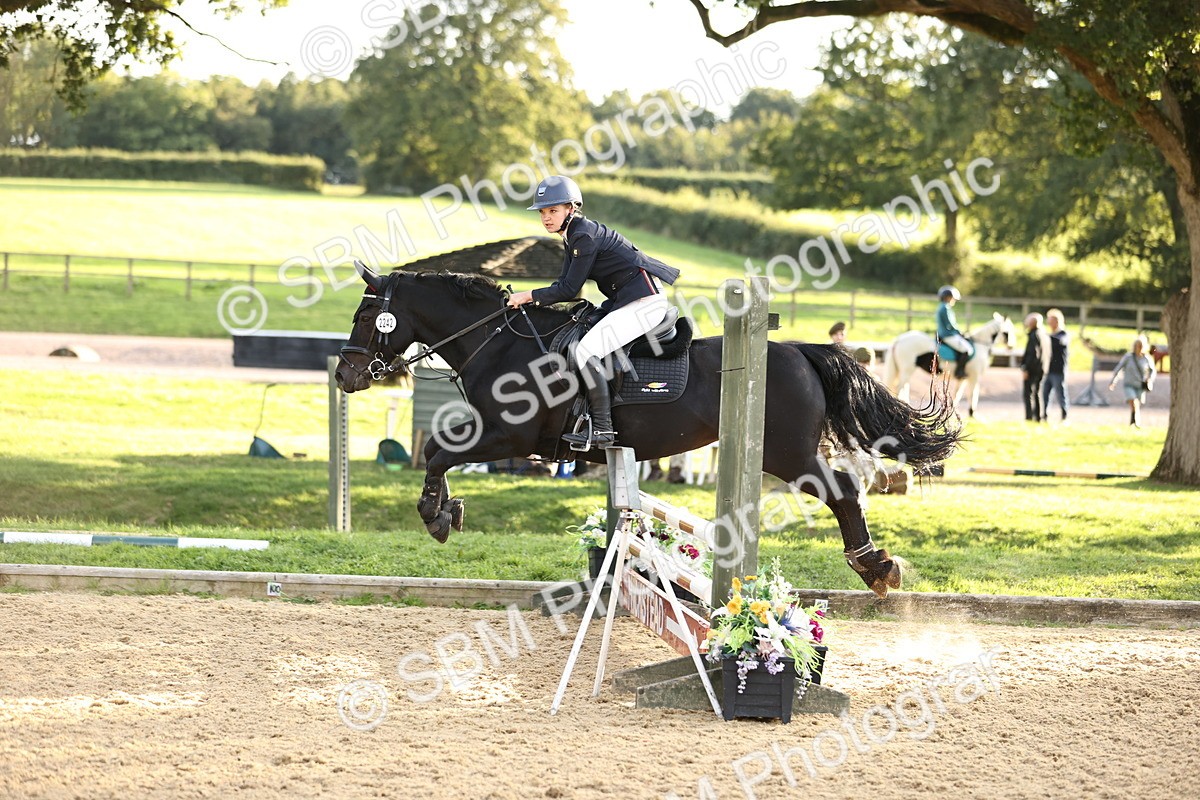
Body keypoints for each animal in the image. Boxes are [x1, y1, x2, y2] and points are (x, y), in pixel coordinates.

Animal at [335, 264, 961, 598]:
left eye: (365, 316)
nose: (343, 375)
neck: (499, 342)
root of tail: (799, 352)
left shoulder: (510, 437)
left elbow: (439, 451)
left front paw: (437, 516)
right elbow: (439, 452)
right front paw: (449, 510)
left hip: (787, 455)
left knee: (843, 491)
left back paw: (874, 566)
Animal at [883, 313, 1016, 418]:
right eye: (1007, 332)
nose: (1011, 346)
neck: (980, 346)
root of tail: (899, 340)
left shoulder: (963, 378)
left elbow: (958, 393)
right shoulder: (974, 376)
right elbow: (973, 393)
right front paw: (972, 413)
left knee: (903, 386)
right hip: (907, 369)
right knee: (900, 387)